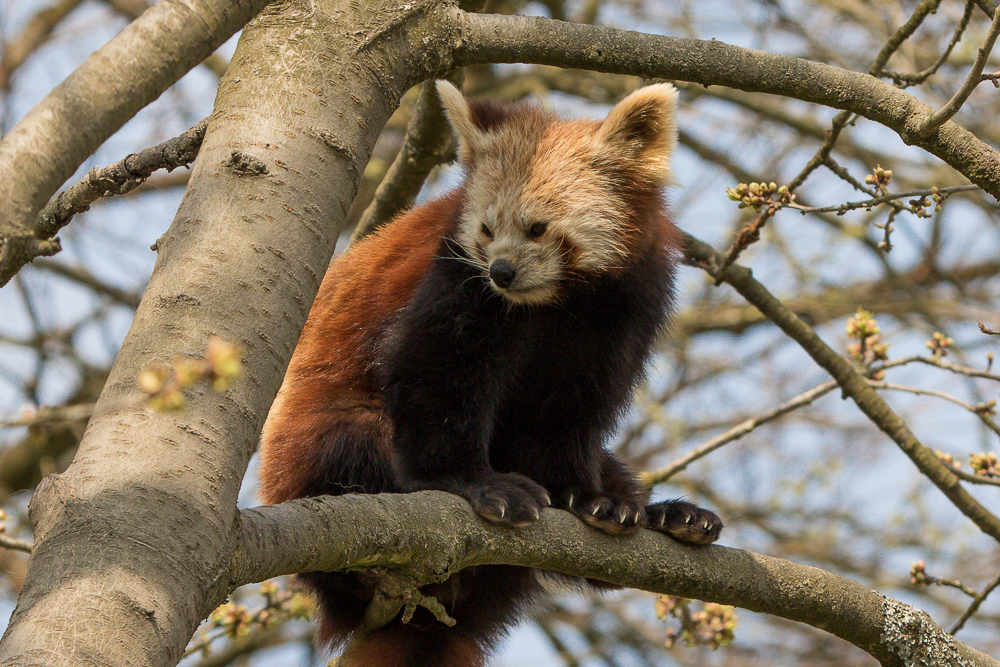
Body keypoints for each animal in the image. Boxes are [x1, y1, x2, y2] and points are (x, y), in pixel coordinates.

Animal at [260, 81, 720, 664]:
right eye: (485, 228)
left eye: (537, 228)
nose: (501, 271)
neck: (555, 303)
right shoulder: (453, 277)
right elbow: (434, 374)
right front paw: (476, 484)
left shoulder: (622, 310)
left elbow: (569, 411)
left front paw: (587, 498)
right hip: (309, 443)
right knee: (353, 441)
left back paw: (663, 514)